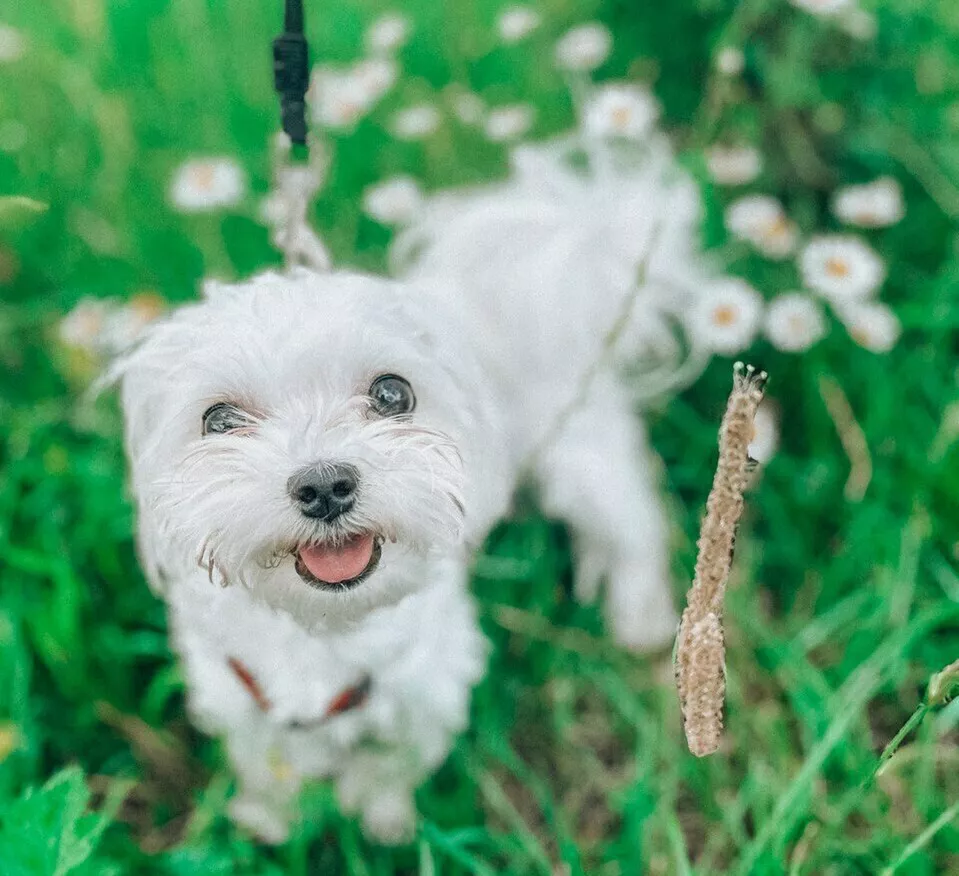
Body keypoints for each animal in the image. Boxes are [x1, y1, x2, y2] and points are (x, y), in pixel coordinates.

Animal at [116, 256, 680, 844]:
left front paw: (381, 819)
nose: (325, 486)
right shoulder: (236, 694)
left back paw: (641, 619)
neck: (326, 629)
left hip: (584, 462)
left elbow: (391, 764)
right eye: (220, 421)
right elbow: (265, 765)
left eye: (392, 394)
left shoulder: (429, 688)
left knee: (635, 526)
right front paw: (272, 819)